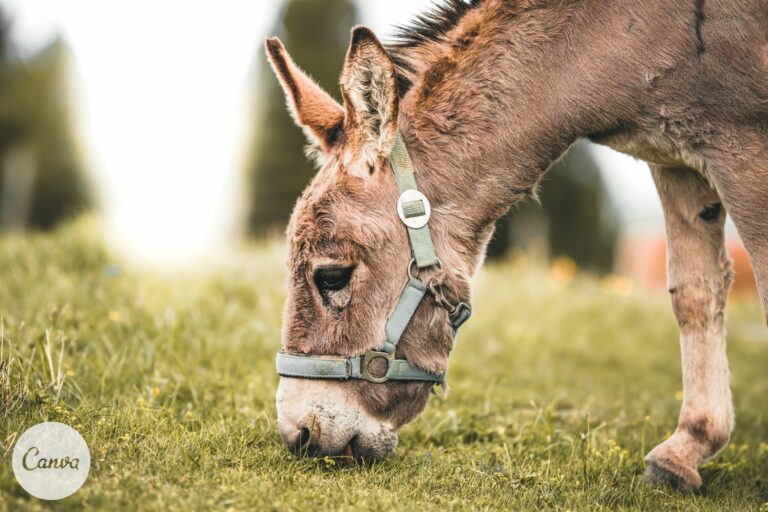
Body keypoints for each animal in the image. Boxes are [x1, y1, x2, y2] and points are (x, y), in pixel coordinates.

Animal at [266, 0, 768, 490]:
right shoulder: (675, 159)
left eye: (332, 276)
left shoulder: (741, 146)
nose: (299, 435)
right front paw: (687, 449)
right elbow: (695, 294)